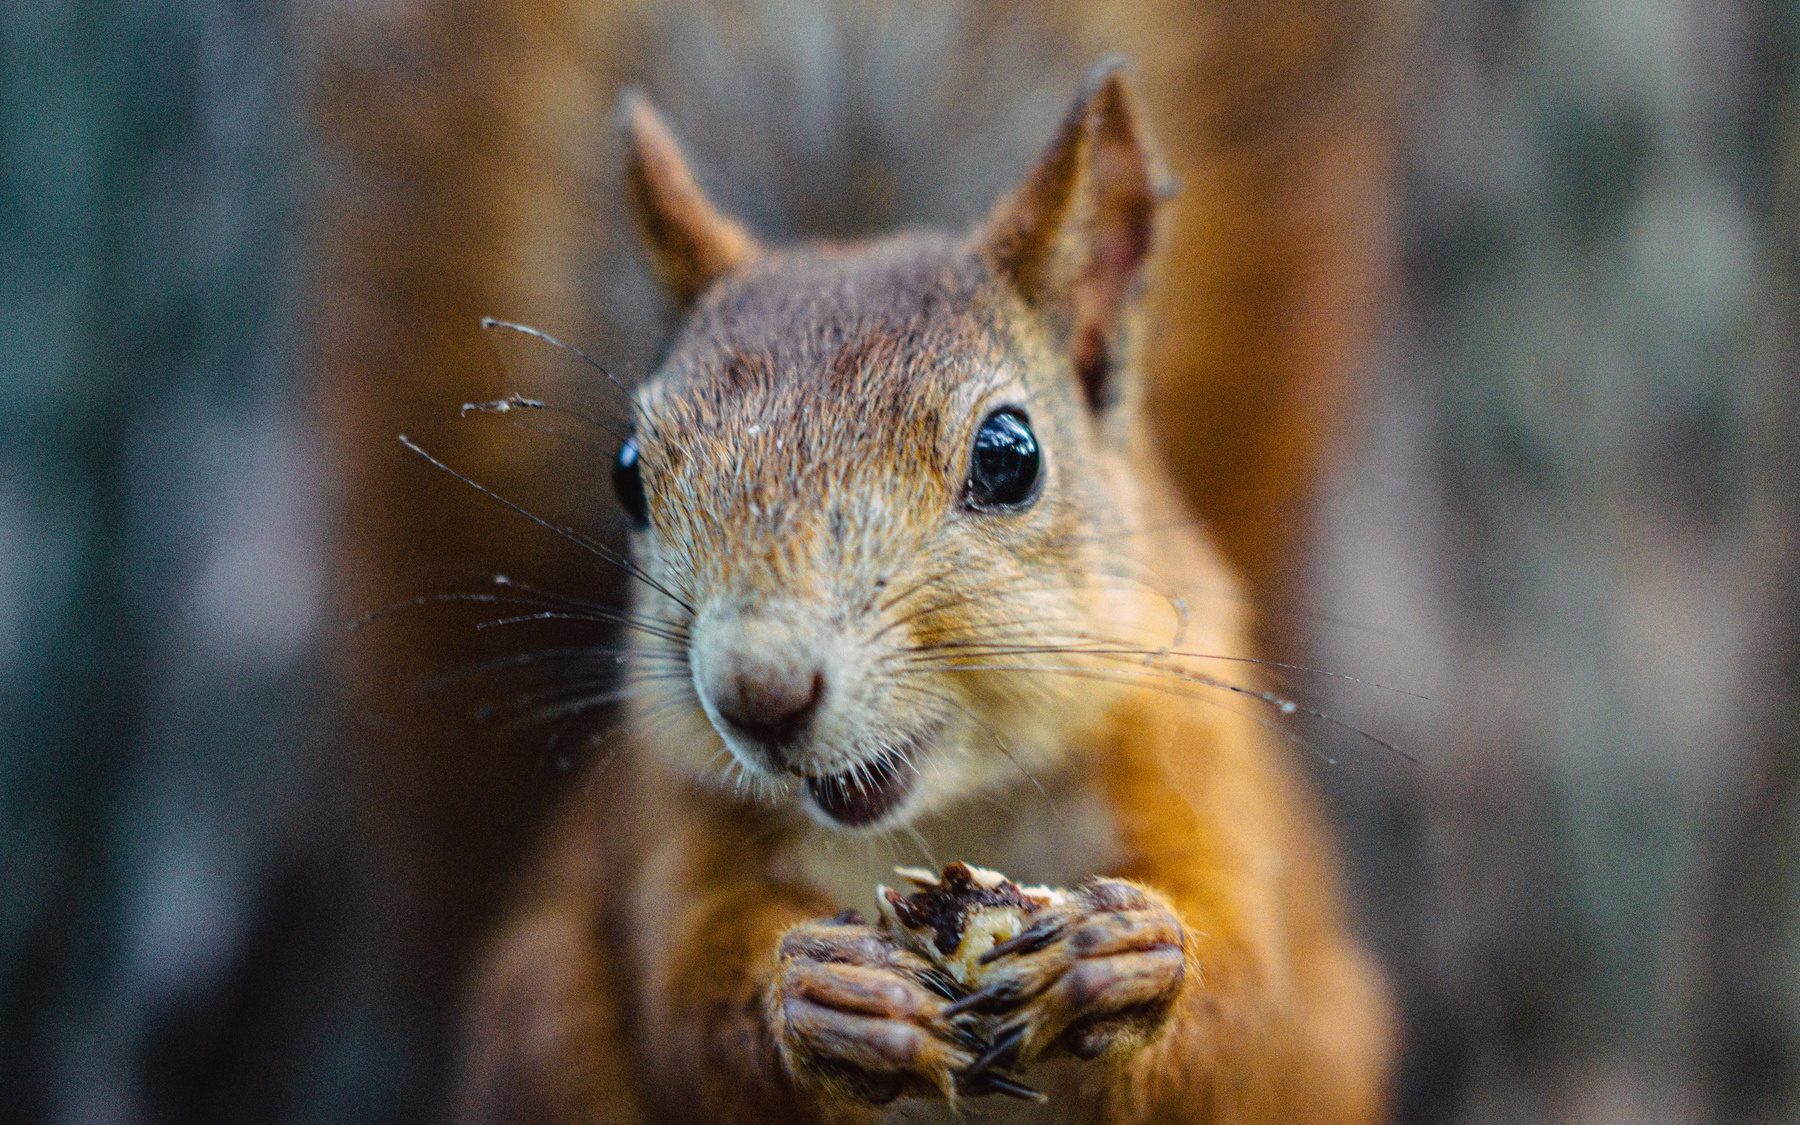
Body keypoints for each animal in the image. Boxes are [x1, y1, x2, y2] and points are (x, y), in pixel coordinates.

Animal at [447, 63, 1397, 1124]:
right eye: (625, 474)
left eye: (1010, 456)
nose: (757, 694)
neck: (952, 809)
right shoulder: (674, 834)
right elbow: (689, 1024)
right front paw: (825, 999)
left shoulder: (1200, 773)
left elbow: (1252, 1020)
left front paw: (1133, 960)